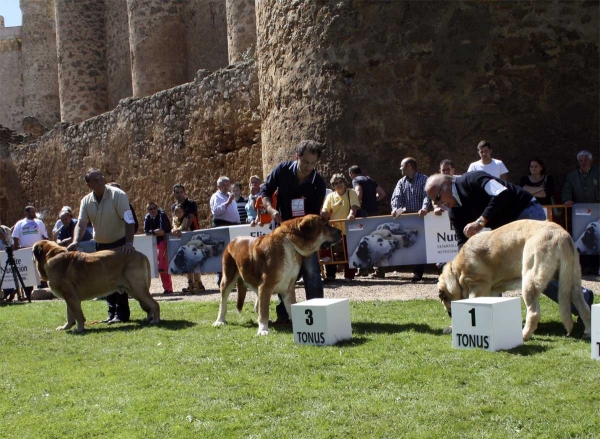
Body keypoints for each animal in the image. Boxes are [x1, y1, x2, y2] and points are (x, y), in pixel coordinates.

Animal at [212, 215, 342, 336]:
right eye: (325, 225)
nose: (340, 231)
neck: (290, 244)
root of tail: (233, 240)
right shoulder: (265, 286)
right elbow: (264, 310)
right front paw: (263, 330)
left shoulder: (288, 288)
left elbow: (289, 306)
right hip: (227, 279)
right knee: (223, 303)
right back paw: (220, 321)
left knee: (257, 304)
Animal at [436, 222, 592, 342]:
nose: (449, 313)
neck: (456, 272)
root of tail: (561, 235)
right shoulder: (491, 292)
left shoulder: (478, 286)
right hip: (572, 281)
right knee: (584, 307)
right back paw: (588, 331)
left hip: (529, 281)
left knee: (534, 313)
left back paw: (524, 335)